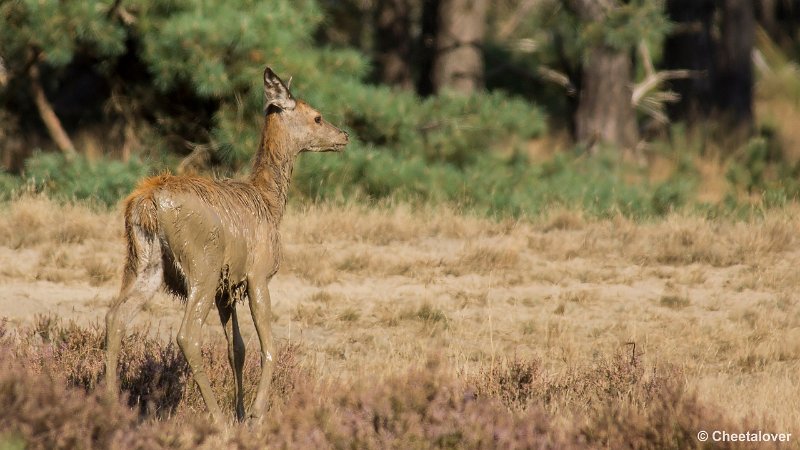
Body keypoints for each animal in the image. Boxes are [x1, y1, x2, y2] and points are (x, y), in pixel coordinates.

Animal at [104, 67, 348, 422]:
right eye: (317, 117)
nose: (343, 135)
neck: (270, 204)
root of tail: (148, 202)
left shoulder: (227, 287)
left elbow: (238, 349)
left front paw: (241, 413)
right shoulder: (258, 274)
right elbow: (268, 346)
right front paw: (256, 414)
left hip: (145, 263)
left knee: (115, 317)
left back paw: (109, 402)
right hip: (201, 263)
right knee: (187, 335)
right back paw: (216, 418)